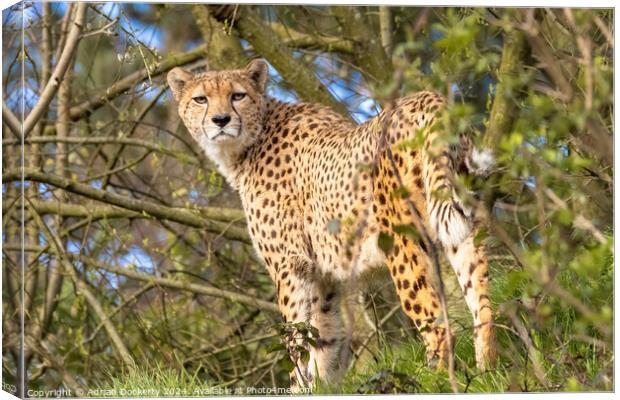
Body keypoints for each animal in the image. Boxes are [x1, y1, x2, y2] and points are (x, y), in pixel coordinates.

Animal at [167, 58, 496, 388]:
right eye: (201, 99)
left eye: (237, 95)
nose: (221, 120)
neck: (251, 141)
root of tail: (427, 97)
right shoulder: (323, 276)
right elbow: (323, 342)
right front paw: (318, 386)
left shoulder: (290, 265)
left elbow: (296, 339)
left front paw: (297, 385)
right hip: (466, 225)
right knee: (484, 311)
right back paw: (487, 375)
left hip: (403, 241)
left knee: (439, 329)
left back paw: (435, 382)